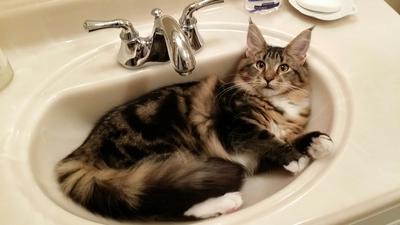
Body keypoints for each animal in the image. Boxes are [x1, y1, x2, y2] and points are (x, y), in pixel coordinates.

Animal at [54, 21, 332, 221]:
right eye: (260, 64)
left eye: (284, 68)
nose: (268, 79)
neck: (278, 105)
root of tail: (82, 151)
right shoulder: (237, 127)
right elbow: (268, 139)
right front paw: (296, 157)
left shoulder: (256, 156)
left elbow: (289, 139)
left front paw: (319, 142)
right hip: (166, 158)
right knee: (169, 206)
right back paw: (227, 202)